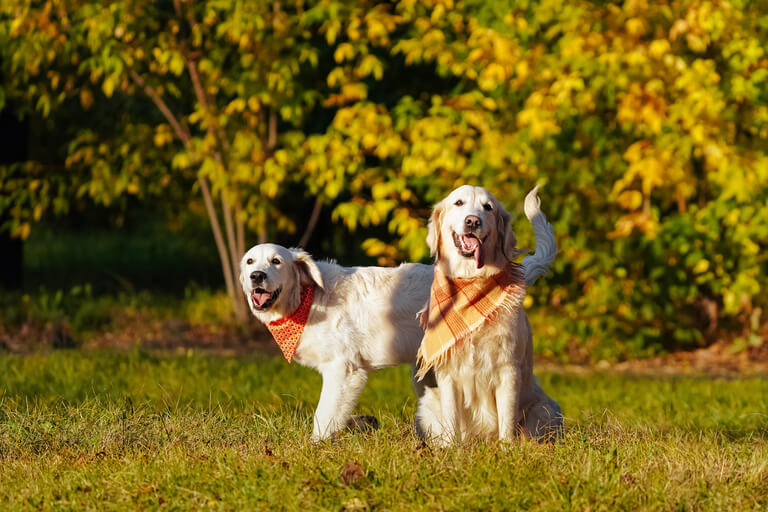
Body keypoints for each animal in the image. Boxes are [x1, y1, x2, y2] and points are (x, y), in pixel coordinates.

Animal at [237, 244, 436, 440]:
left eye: (276, 261)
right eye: (250, 261)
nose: (256, 275)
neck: (307, 299)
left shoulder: (342, 368)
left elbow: (324, 414)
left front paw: (316, 443)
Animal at [414, 185, 564, 444]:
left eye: (488, 207)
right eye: (459, 203)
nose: (473, 221)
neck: (471, 281)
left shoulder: (508, 370)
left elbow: (507, 420)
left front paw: (506, 449)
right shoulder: (448, 374)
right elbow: (451, 419)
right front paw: (452, 450)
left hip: (546, 410)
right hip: (427, 407)